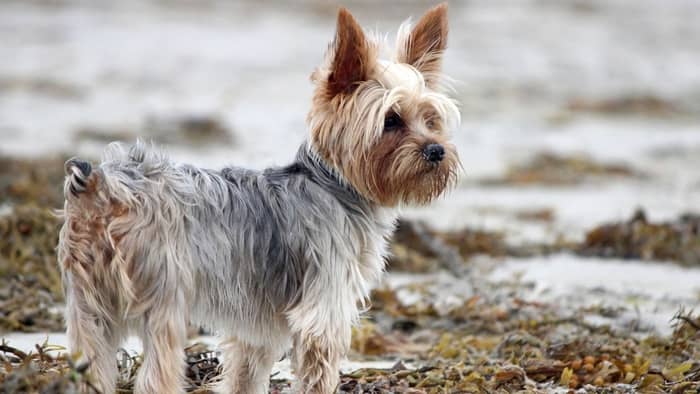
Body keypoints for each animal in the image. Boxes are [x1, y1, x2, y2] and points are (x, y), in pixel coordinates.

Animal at [58, 3, 460, 394]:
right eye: (391, 120)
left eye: (430, 118)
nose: (437, 151)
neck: (334, 185)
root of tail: (102, 183)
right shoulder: (323, 310)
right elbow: (318, 373)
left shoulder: (257, 329)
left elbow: (244, 375)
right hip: (163, 298)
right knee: (156, 376)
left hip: (88, 307)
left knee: (91, 365)